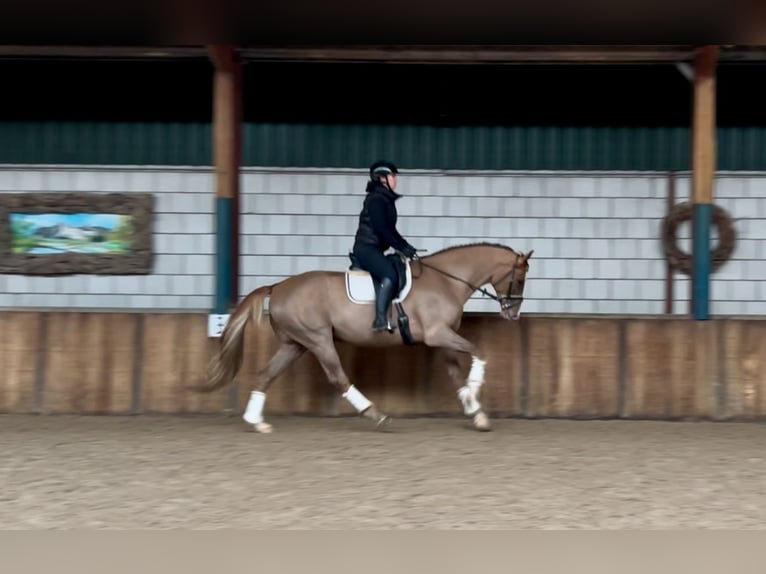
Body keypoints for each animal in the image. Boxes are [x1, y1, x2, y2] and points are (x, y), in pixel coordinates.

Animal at [196, 241, 536, 434]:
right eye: (519, 278)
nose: (513, 313)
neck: (446, 281)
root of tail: (277, 286)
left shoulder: (441, 338)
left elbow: (456, 374)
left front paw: (474, 411)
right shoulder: (439, 334)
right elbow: (479, 353)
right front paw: (475, 396)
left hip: (295, 344)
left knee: (267, 373)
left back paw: (257, 422)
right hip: (318, 340)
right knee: (338, 377)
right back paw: (377, 416)